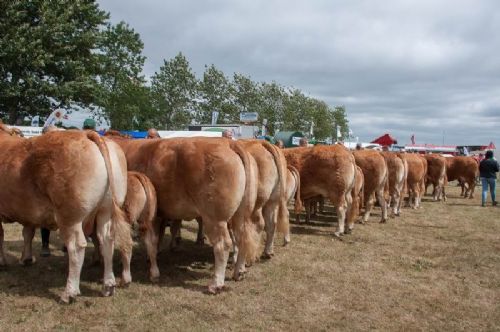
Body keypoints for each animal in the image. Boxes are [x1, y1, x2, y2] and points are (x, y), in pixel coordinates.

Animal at [0, 127, 131, 304]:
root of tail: (87, 133)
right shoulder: (28, 212)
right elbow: (28, 233)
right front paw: (26, 259)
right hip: (106, 211)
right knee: (106, 240)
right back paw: (108, 285)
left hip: (70, 217)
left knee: (76, 247)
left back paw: (69, 292)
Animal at [108, 136, 258, 292]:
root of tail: (229, 142)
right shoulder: (159, 214)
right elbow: (157, 237)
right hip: (241, 213)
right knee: (242, 237)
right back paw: (239, 272)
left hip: (215, 218)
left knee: (223, 244)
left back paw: (216, 284)